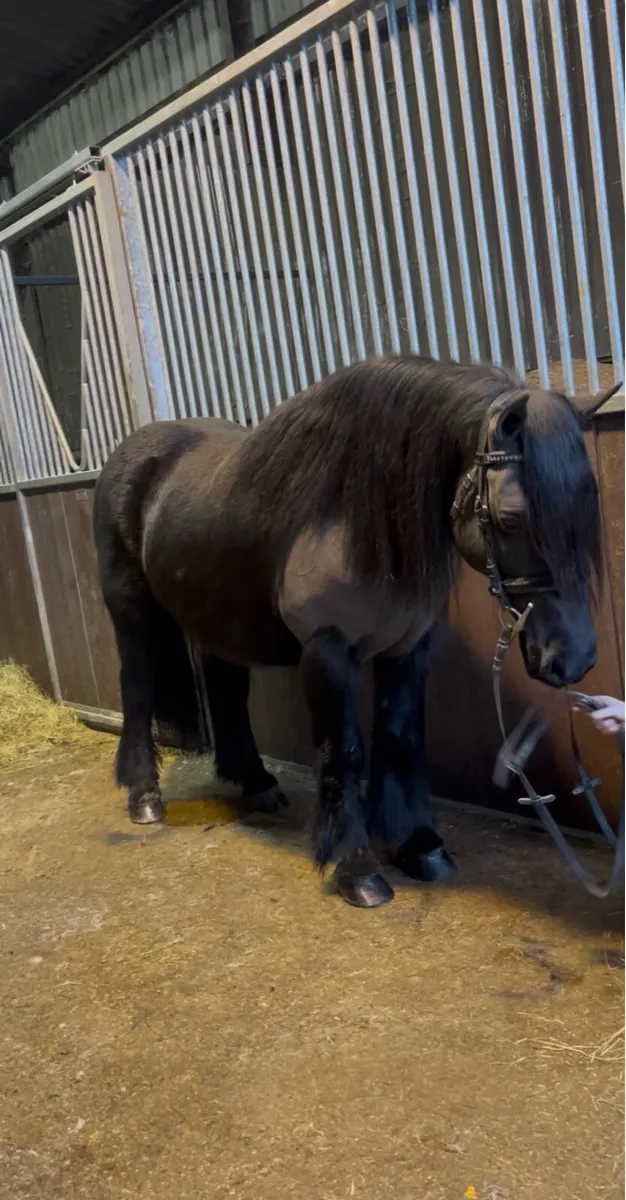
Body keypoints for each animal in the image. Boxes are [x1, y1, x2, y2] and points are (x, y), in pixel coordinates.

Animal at [93, 355, 618, 908]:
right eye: (512, 519)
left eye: (587, 508)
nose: (574, 657)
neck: (355, 521)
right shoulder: (329, 652)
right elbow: (343, 752)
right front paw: (356, 866)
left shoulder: (408, 649)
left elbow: (399, 737)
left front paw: (417, 846)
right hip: (133, 612)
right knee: (138, 689)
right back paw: (144, 796)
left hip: (217, 619)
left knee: (227, 692)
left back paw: (256, 784)